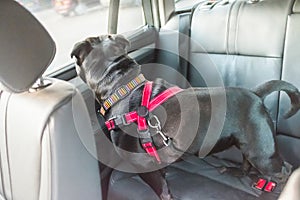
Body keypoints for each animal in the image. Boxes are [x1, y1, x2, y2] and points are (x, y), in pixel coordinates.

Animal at [71, 34, 300, 198]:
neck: (123, 88)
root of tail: (256, 93)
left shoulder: (145, 166)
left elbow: (161, 188)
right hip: (248, 143)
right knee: (246, 161)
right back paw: (235, 172)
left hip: (262, 152)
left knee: (285, 168)